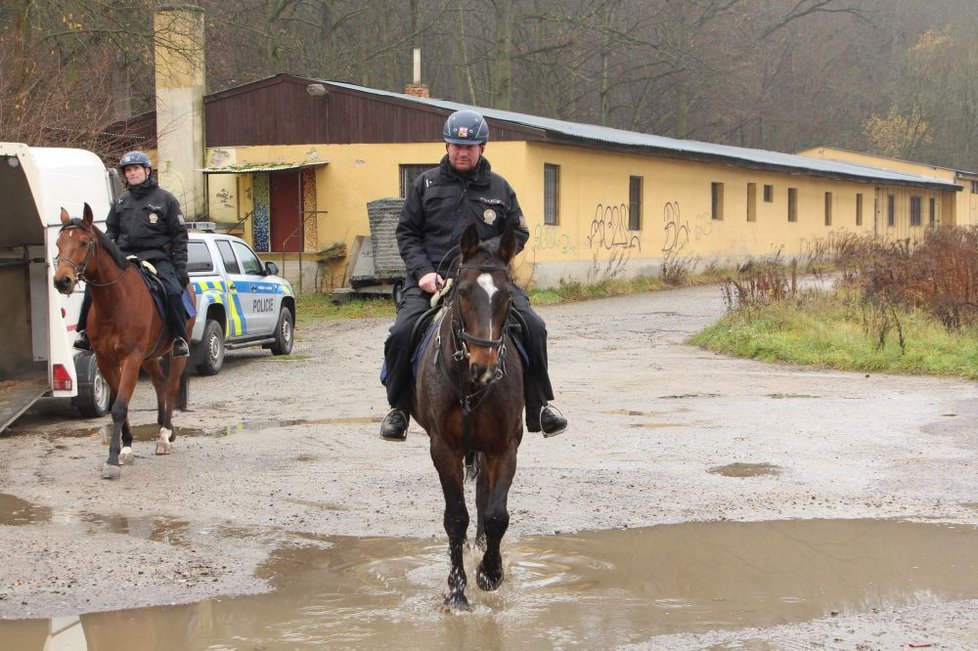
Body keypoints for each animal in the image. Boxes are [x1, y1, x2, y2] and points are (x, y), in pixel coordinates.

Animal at [53, 204, 194, 478]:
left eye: (84, 242)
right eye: (58, 243)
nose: (62, 280)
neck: (115, 301)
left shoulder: (131, 358)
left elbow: (119, 407)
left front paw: (111, 459)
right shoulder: (106, 360)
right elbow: (120, 402)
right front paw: (125, 448)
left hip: (173, 353)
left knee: (171, 386)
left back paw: (164, 435)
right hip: (149, 357)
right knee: (160, 384)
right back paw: (164, 428)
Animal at [410, 224, 524, 612]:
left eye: (506, 294)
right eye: (462, 292)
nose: (484, 366)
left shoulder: (504, 448)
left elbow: (496, 515)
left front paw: (490, 573)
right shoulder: (444, 448)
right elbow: (456, 517)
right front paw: (457, 591)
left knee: (484, 499)